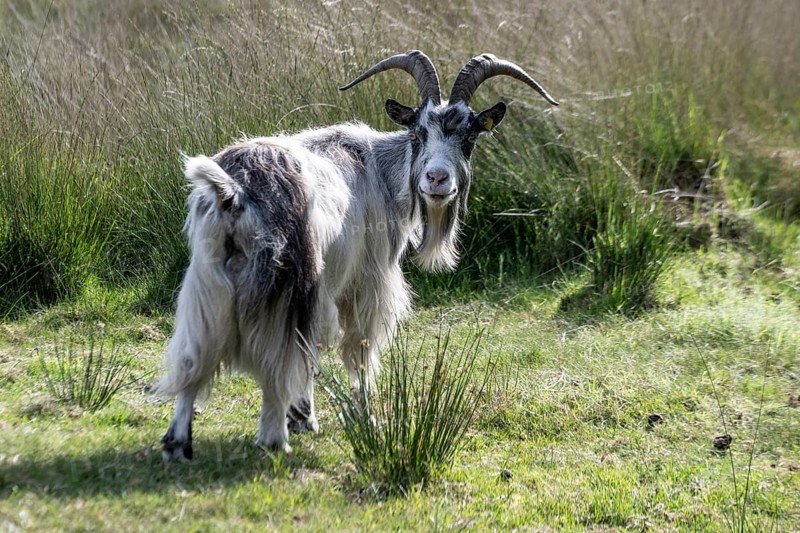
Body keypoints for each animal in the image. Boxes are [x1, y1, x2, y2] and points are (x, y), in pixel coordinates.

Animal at [158, 51, 558, 459]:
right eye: (417, 134)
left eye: (470, 136)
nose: (436, 179)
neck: (380, 171)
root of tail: (233, 189)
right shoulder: (368, 282)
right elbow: (358, 351)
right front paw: (365, 418)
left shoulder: (326, 289)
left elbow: (314, 351)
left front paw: (304, 416)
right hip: (287, 283)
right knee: (277, 361)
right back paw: (274, 439)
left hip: (208, 284)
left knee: (194, 354)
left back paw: (178, 442)